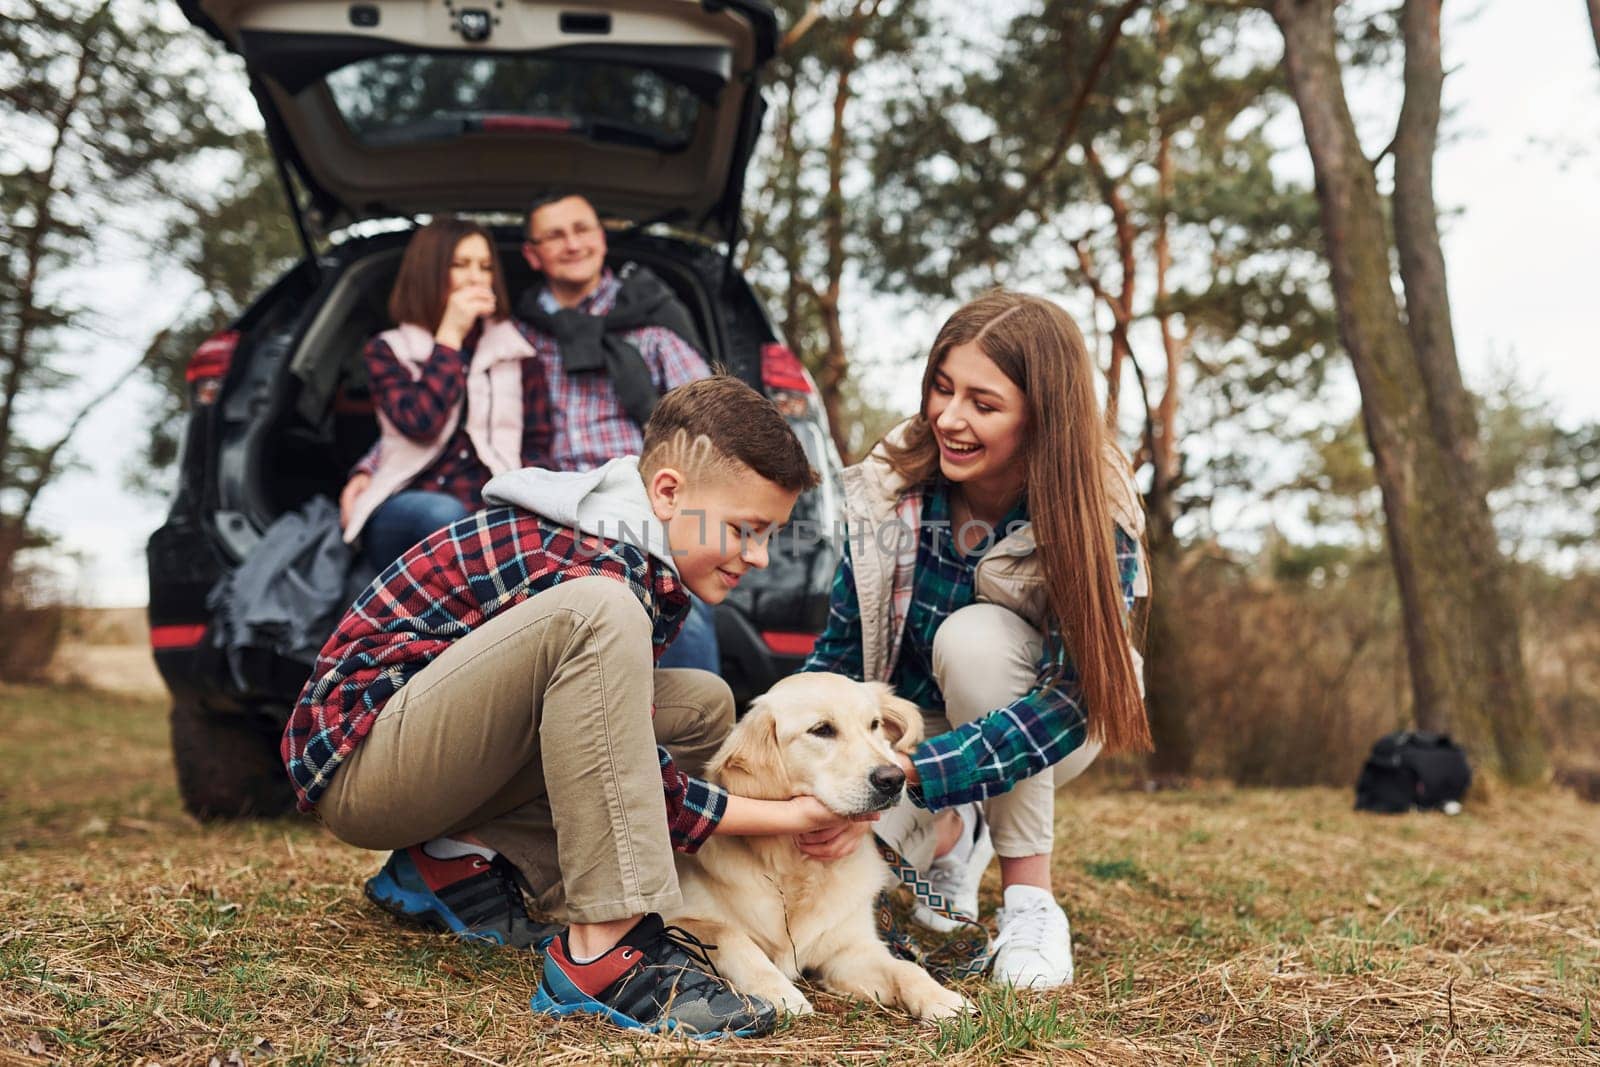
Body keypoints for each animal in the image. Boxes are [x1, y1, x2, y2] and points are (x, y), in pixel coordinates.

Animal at [659, 671, 960, 1023]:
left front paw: (942, 999)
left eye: (874, 724)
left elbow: (906, 968)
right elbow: (730, 936)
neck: (797, 866)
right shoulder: (678, 919)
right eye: (822, 730)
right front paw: (780, 992)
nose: (894, 778)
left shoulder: (849, 950)